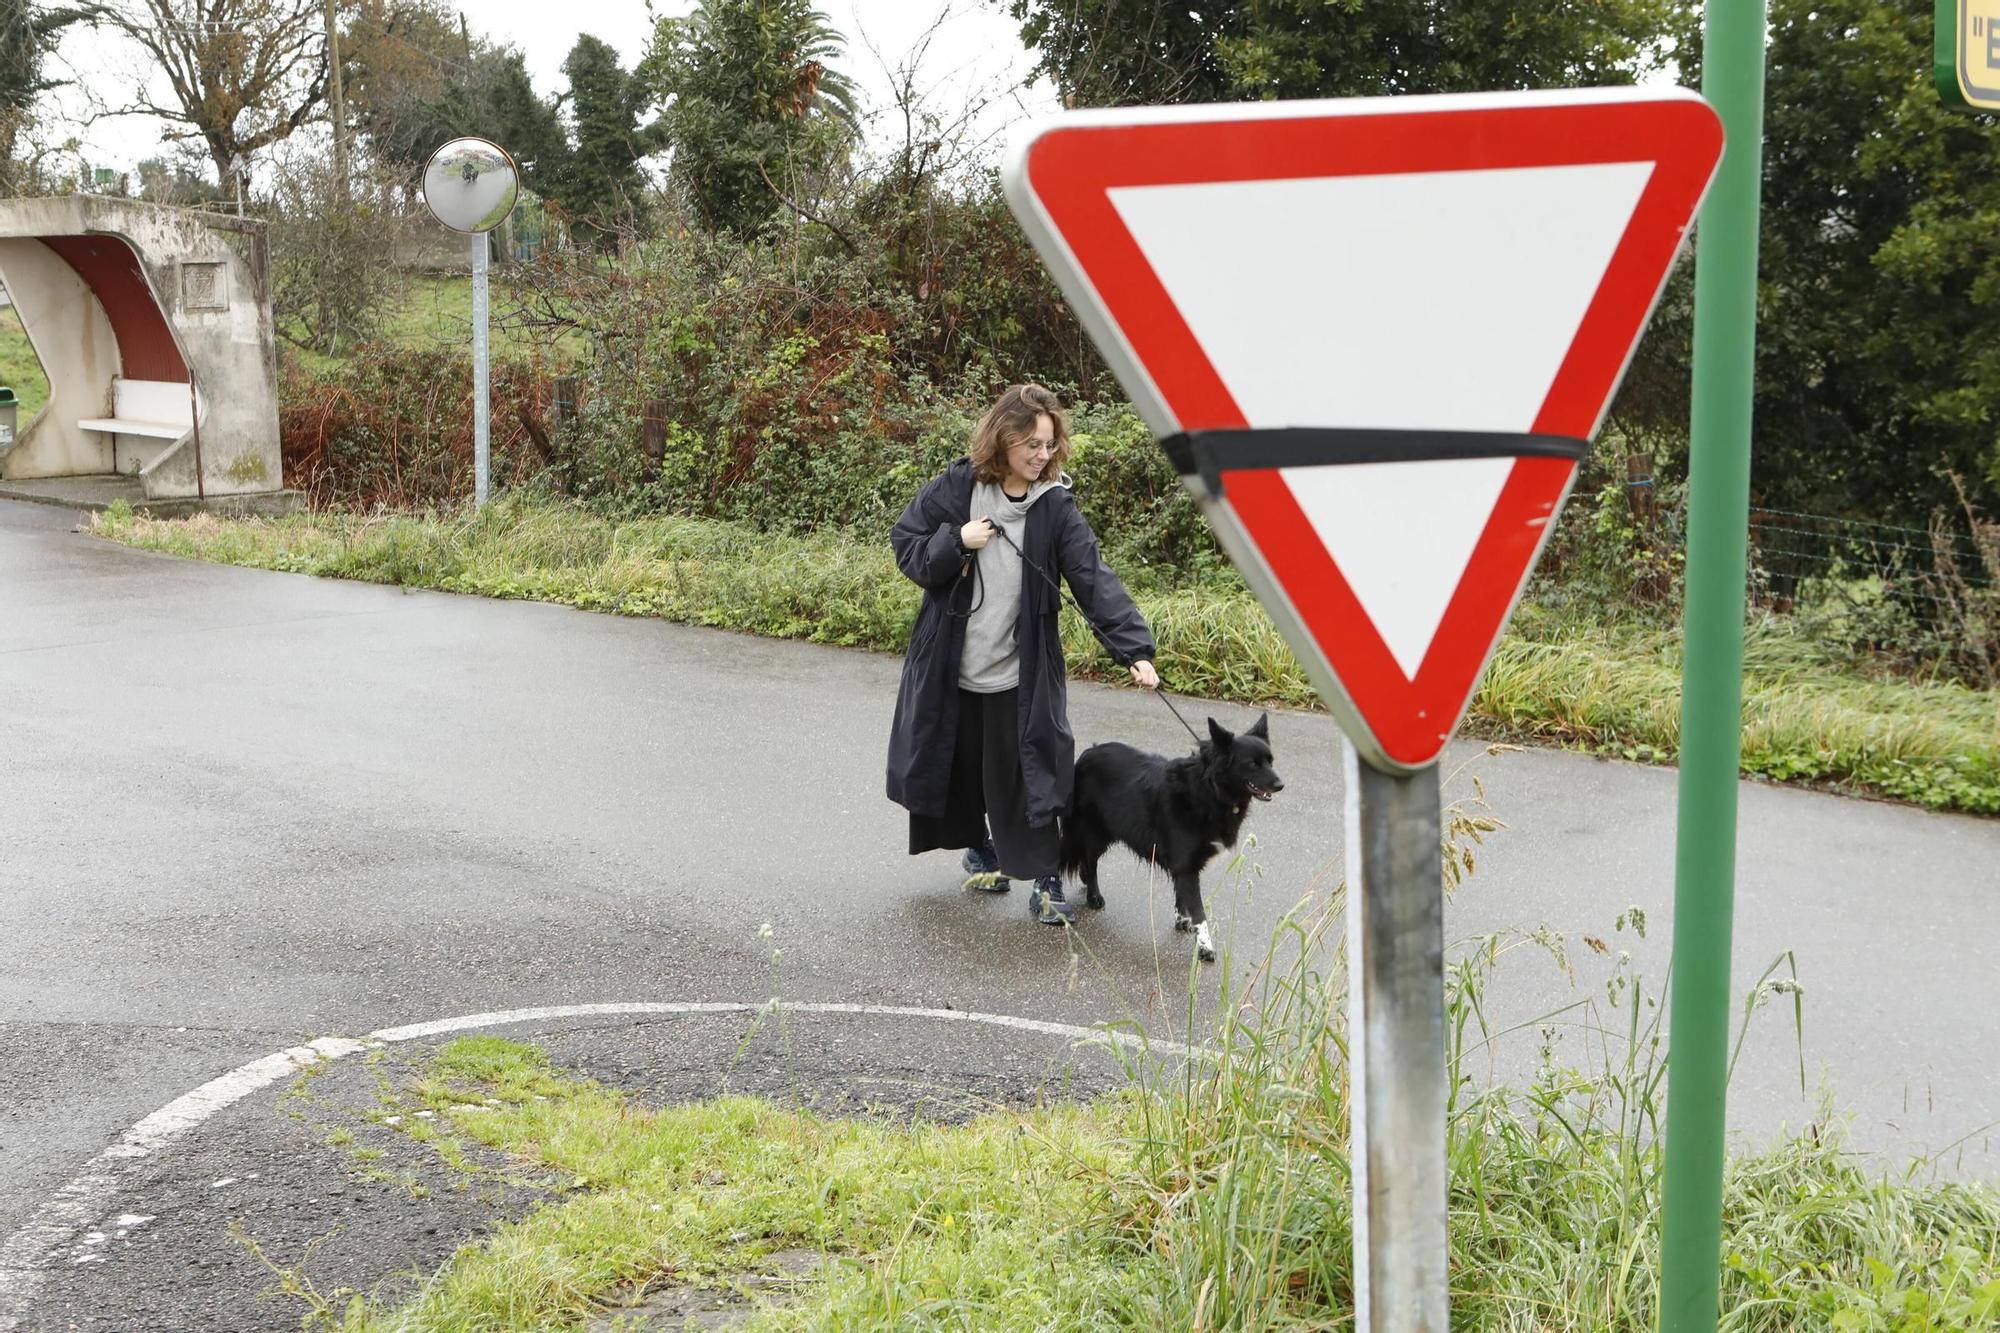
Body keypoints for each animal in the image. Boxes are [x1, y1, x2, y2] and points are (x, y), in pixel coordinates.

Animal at [1064, 712, 1280, 960]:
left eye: (1270, 761)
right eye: (1252, 764)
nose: (1281, 785)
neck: (1210, 790)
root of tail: (1086, 754)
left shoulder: (1184, 865)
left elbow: (1181, 896)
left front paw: (1182, 920)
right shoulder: (1186, 864)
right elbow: (1199, 912)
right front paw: (1205, 946)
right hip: (1096, 831)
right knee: (1090, 861)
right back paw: (1093, 896)